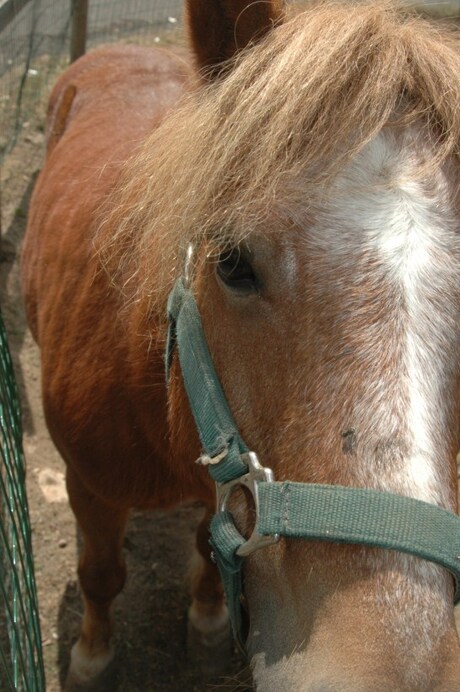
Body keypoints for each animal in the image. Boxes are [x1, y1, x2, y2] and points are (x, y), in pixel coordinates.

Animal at [21, 0, 460, 688]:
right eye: (231, 263)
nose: (386, 661)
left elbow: (208, 550)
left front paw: (204, 622)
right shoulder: (88, 487)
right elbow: (100, 575)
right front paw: (92, 656)